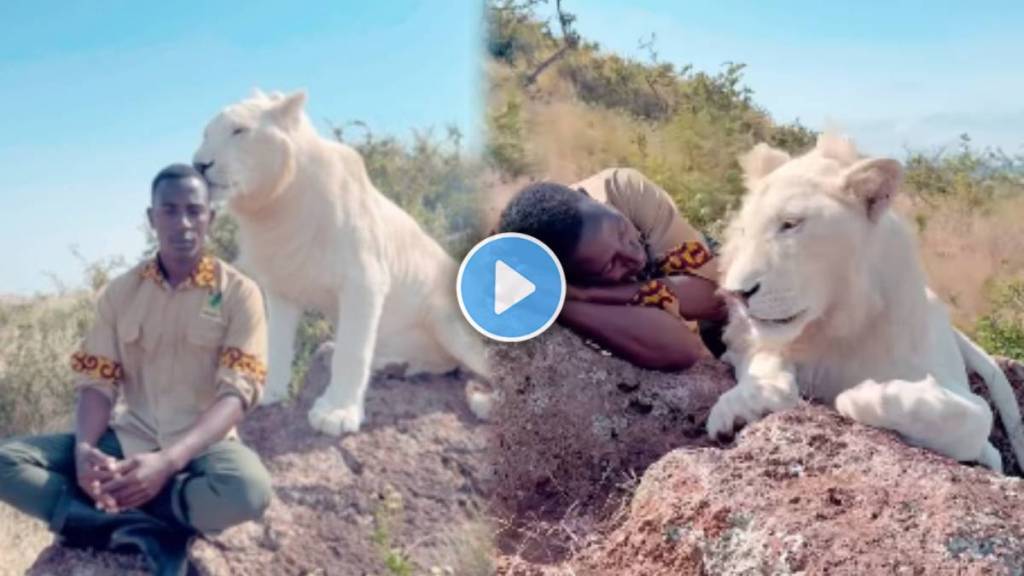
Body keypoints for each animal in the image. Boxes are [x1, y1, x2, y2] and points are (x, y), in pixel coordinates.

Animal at [192, 87, 495, 432]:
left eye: (239, 131)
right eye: (206, 134)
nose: (199, 165)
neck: (275, 206)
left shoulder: (364, 280)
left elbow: (352, 350)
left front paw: (337, 413)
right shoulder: (281, 289)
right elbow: (277, 344)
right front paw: (269, 394)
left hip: (448, 321)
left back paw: (484, 403)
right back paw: (392, 365)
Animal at [708, 133, 1024, 471]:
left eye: (790, 224)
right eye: (744, 230)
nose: (736, 293)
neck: (838, 319)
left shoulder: (959, 402)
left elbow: (970, 417)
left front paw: (865, 394)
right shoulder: (746, 340)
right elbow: (767, 364)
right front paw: (738, 408)